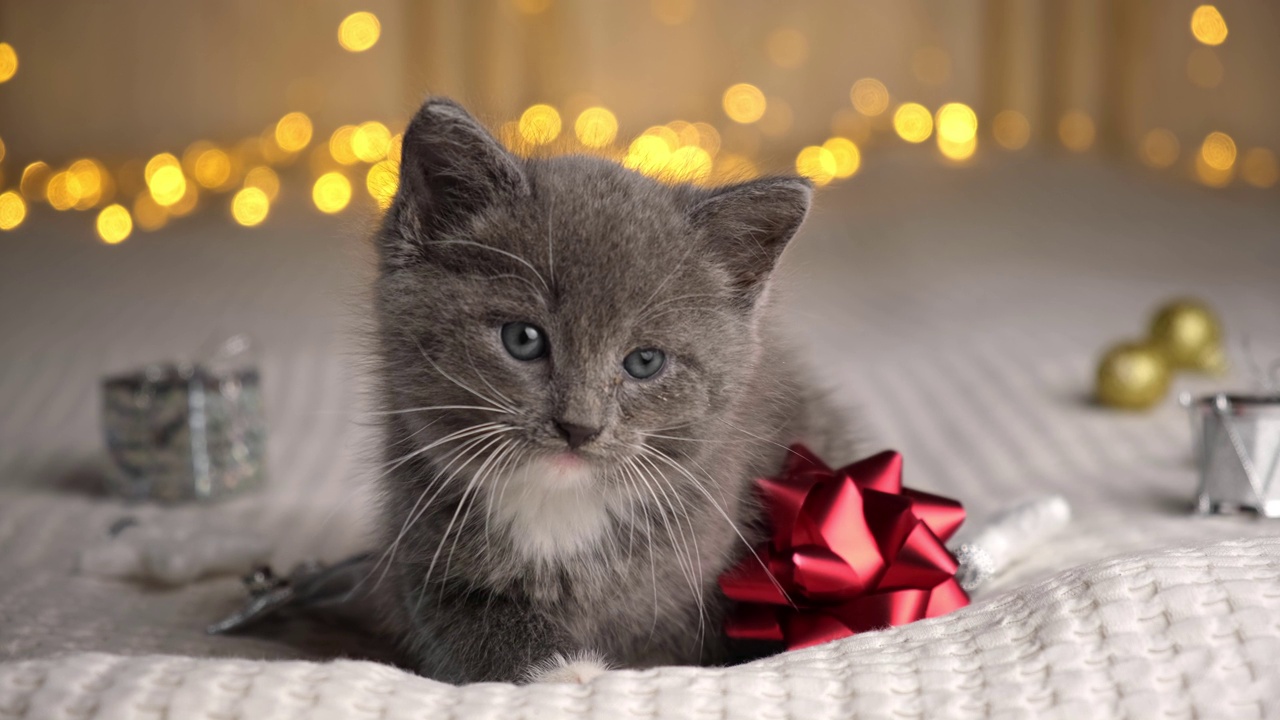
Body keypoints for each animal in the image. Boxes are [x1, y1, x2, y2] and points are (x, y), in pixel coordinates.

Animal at [371, 98, 849, 681]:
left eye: (644, 361)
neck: (558, 509)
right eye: (523, 338)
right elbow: (469, 632)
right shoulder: (421, 550)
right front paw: (565, 672)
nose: (578, 427)